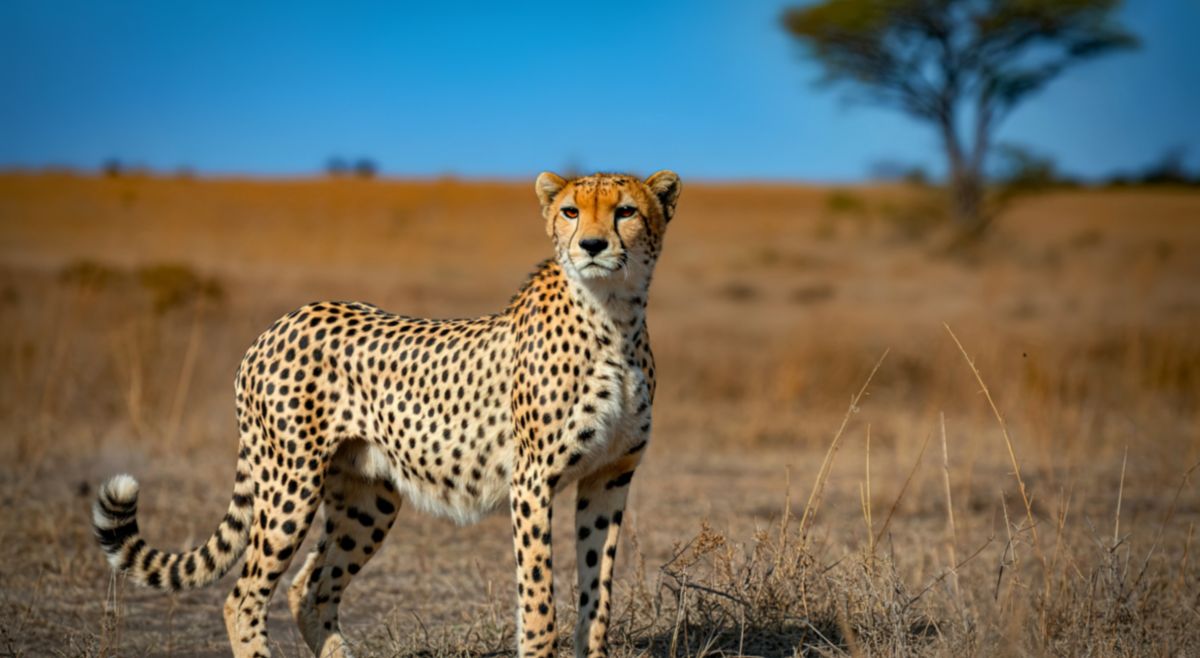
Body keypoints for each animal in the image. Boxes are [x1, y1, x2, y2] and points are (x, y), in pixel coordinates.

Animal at [92, 169, 681, 658]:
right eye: (571, 211)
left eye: (625, 211)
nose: (592, 246)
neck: (614, 318)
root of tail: (277, 324)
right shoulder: (532, 482)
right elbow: (539, 599)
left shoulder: (609, 477)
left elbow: (597, 591)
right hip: (290, 483)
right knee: (244, 597)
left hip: (366, 497)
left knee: (310, 588)